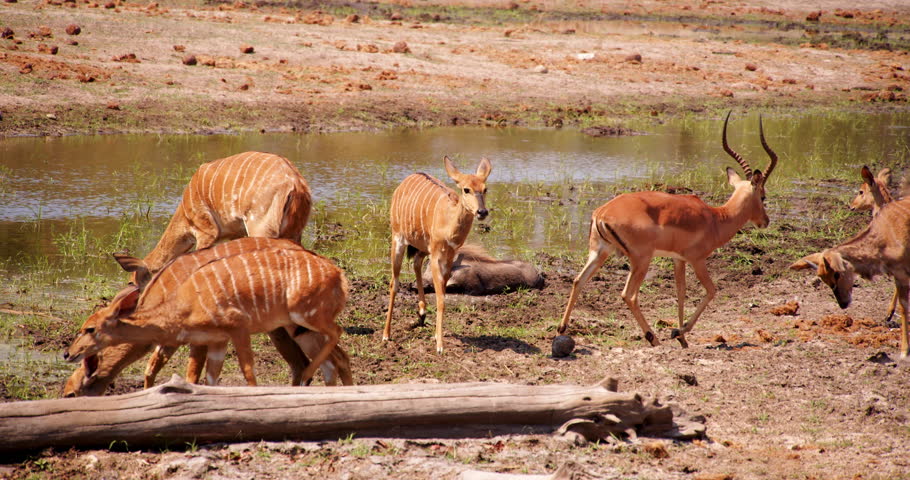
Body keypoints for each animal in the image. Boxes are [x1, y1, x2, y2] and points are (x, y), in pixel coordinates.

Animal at [63, 240, 354, 397]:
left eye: (72, 393)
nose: (67, 353)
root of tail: (338, 274)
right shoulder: (202, 340)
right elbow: (192, 375)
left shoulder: (217, 334)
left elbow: (196, 374)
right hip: (299, 327)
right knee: (335, 359)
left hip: (297, 320)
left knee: (320, 352)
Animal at [127, 151, 311, 286]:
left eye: (132, 282)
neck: (185, 213)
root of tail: (296, 184)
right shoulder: (235, 233)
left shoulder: (206, 231)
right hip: (293, 232)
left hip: (261, 228)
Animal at [384, 156, 492, 353]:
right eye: (466, 189)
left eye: (485, 189)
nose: (482, 212)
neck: (449, 225)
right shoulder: (435, 255)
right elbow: (440, 298)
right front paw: (440, 345)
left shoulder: (449, 257)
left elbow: (442, 291)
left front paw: (436, 336)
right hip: (398, 239)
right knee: (394, 282)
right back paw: (386, 334)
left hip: (422, 247)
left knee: (416, 263)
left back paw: (421, 312)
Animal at [557, 112, 778, 348]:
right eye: (763, 196)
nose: (765, 221)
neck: (716, 218)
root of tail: (602, 212)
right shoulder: (697, 259)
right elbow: (711, 290)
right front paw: (679, 331)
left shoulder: (678, 259)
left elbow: (680, 292)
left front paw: (682, 339)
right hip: (641, 260)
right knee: (628, 295)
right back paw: (653, 338)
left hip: (600, 252)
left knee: (578, 280)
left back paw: (562, 328)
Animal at [790, 192, 910, 359]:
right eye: (823, 279)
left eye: (836, 274)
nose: (843, 304)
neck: (885, 236)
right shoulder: (898, 274)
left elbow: (904, 308)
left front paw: (905, 351)